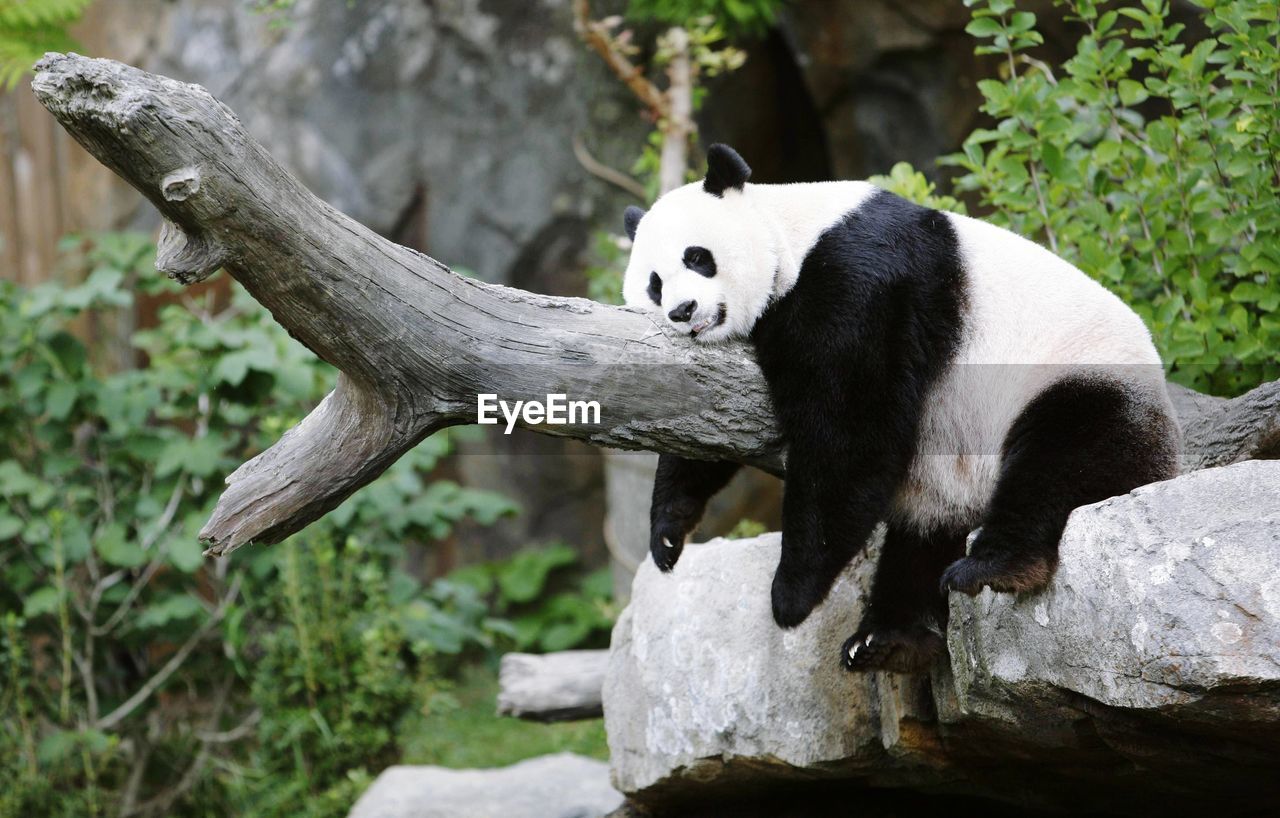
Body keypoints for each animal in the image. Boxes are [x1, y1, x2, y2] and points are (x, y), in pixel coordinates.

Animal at [619, 144, 1177, 675]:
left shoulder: (859, 281)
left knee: (1060, 459)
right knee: (922, 539)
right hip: (948, 477)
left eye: (697, 257)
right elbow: (708, 421)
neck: (791, 233)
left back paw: (993, 568)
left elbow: (849, 431)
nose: (683, 311)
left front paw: (791, 593)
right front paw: (668, 533)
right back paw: (888, 639)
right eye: (654, 283)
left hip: (1080, 380)